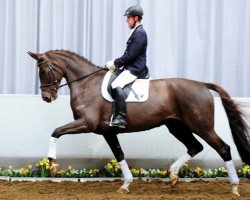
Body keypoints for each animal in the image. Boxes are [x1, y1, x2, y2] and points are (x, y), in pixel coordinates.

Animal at [27, 50, 250, 195]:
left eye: (44, 71)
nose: (47, 98)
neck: (86, 84)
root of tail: (202, 85)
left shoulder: (87, 124)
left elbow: (56, 131)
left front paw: (53, 165)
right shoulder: (107, 132)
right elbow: (119, 155)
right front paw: (126, 185)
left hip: (202, 126)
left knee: (224, 148)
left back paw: (234, 187)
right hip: (176, 126)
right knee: (195, 147)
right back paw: (173, 176)